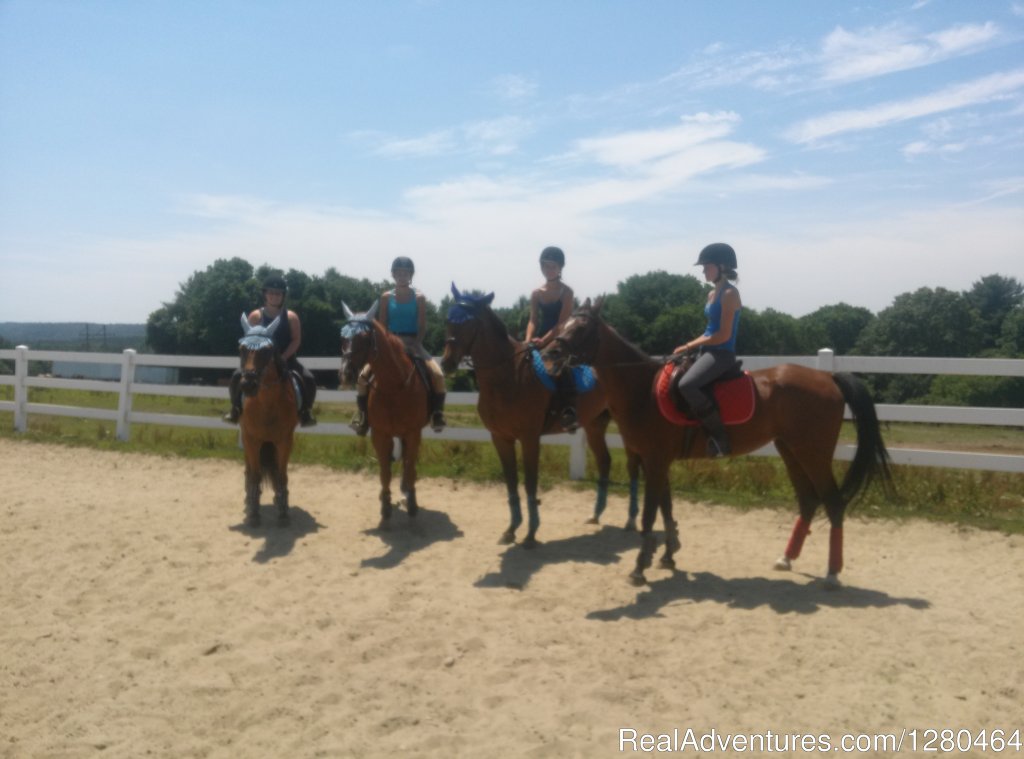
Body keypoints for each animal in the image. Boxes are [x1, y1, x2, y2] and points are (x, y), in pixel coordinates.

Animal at [233, 313, 294, 528]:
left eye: (267, 350)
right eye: (241, 348)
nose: (248, 384)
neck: (267, 405)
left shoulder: (284, 441)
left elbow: (281, 475)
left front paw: (283, 512)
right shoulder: (252, 440)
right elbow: (255, 474)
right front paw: (253, 513)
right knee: (249, 471)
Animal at [339, 305, 428, 528]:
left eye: (364, 337)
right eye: (342, 337)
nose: (345, 374)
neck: (393, 385)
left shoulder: (413, 433)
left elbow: (409, 467)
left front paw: (412, 504)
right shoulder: (380, 434)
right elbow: (385, 471)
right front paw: (385, 507)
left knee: (408, 465)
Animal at [442, 284, 638, 544]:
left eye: (468, 323)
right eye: (448, 320)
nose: (446, 363)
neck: (509, 376)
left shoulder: (529, 438)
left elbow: (530, 483)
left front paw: (530, 534)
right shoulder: (500, 438)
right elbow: (511, 482)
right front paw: (511, 529)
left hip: (626, 424)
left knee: (633, 465)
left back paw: (631, 520)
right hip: (595, 424)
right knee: (604, 461)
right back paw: (595, 515)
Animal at [544, 297, 897, 585]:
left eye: (582, 327)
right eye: (564, 324)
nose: (550, 353)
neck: (642, 389)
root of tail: (827, 376)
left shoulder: (655, 460)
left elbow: (649, 514)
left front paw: (640, 567)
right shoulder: (658, 460)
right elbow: (666, 506)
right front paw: (668, 554)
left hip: (813, 453)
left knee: (833, 503)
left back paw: (832, 573)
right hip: (790, 450)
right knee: (809, 500)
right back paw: (786, 559)